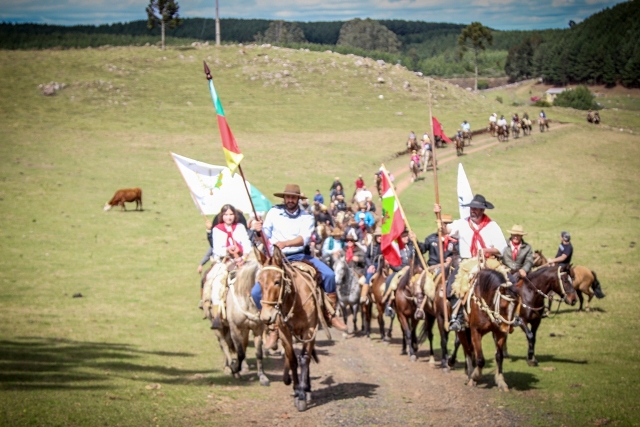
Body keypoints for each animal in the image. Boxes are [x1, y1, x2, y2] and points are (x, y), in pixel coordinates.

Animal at [256, 249, 324, 412]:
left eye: (277, 281)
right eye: (259, 282)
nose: (266, 316)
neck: (295, 299)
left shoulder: (309, 331)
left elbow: (304, 358)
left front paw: (303, 394)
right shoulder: (284, 332)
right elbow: (292, 359)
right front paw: (296, 390)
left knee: (307, 356)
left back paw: (307, 388)